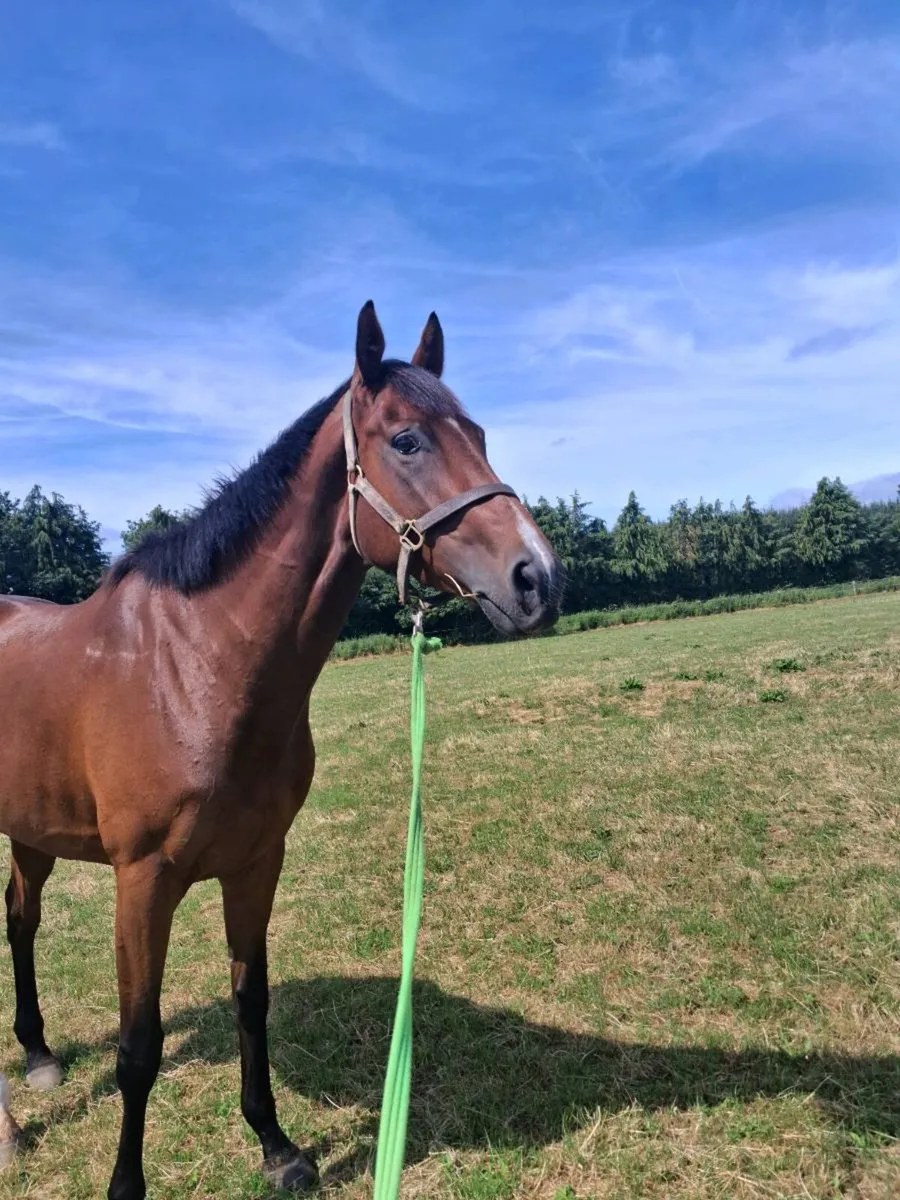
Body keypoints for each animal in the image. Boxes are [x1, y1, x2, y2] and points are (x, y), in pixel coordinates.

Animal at [0, 301, 562, 1198]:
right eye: (408, 440)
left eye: (478, 432)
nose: (537, 578)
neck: (198, 665)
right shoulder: (142, 882)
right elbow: (137, 1047)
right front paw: (127, 1183)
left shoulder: (258, 861)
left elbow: (250, 1002)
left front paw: (275, 1145)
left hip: (32, 828)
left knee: (20, 920)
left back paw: (40, 1053)